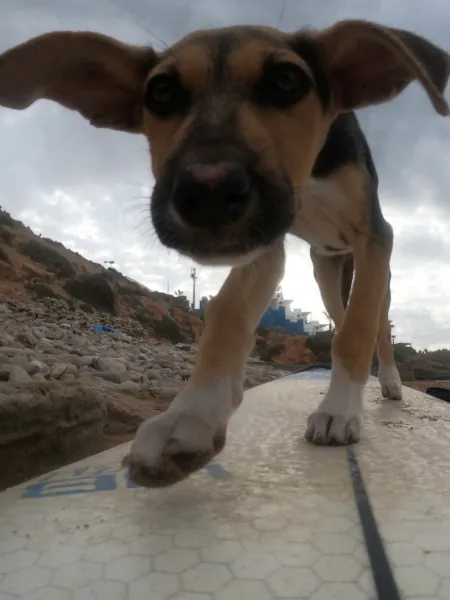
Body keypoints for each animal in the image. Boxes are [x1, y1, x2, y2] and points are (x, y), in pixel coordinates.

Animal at [1, 19, 448, 488]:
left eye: (287, 80)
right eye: (160, 91)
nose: (208, 193)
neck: (309, 174)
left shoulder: (375, 235)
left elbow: (359, 330)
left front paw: (340, 409)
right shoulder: (262, 244)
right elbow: (229, 313)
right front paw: (192, 414)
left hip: (374, 271)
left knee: (375, 323)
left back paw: (390, 382)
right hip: (324, 268)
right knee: (339, 314)